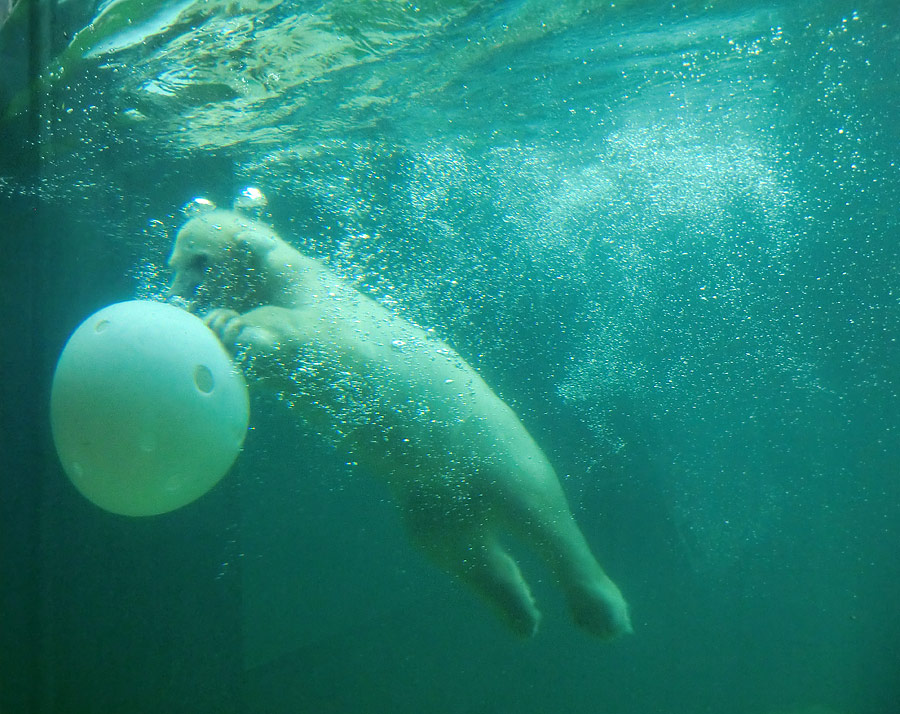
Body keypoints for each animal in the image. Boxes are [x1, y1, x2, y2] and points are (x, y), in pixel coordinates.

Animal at [167, 207, 632, 640]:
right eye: (173, 262)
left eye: (199, 260)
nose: (177, 297)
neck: (286, 272)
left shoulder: (332, 314)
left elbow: (311, 339)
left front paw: (230, 321)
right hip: (429, 495)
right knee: (457, 549)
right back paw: (521, 611)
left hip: (495, 446)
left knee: (544, 517)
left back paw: (602, 611)